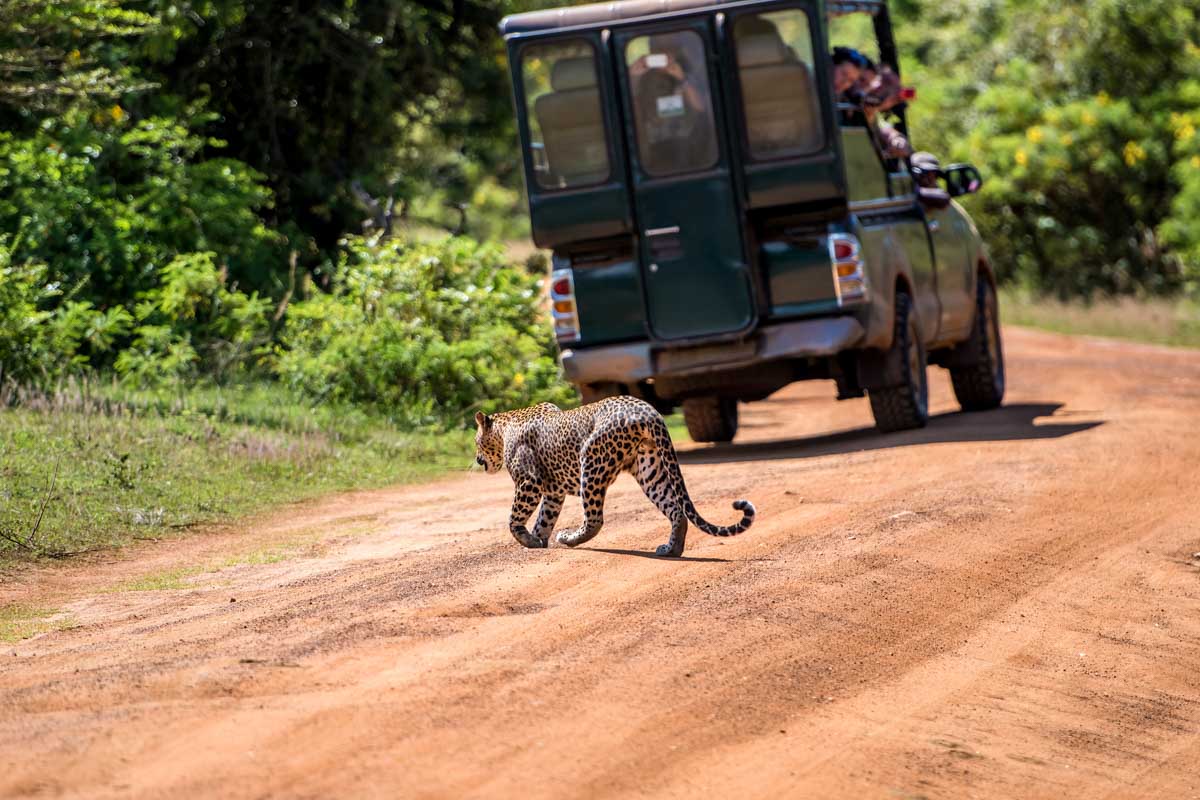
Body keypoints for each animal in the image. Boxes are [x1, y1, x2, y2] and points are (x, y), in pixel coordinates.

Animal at [473, 395, 755, 557]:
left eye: (476, 442)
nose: (476, 459)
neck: (504, 426)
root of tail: (648, 411)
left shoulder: (529, 482)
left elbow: (513, 518)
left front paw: (528, 540)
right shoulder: (553, 493)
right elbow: (545, 517)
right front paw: (538, 539)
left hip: (592, 462)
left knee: (595, 519)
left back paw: (569, 539)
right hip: (649, 468)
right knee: (676, 510)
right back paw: (671, 550)